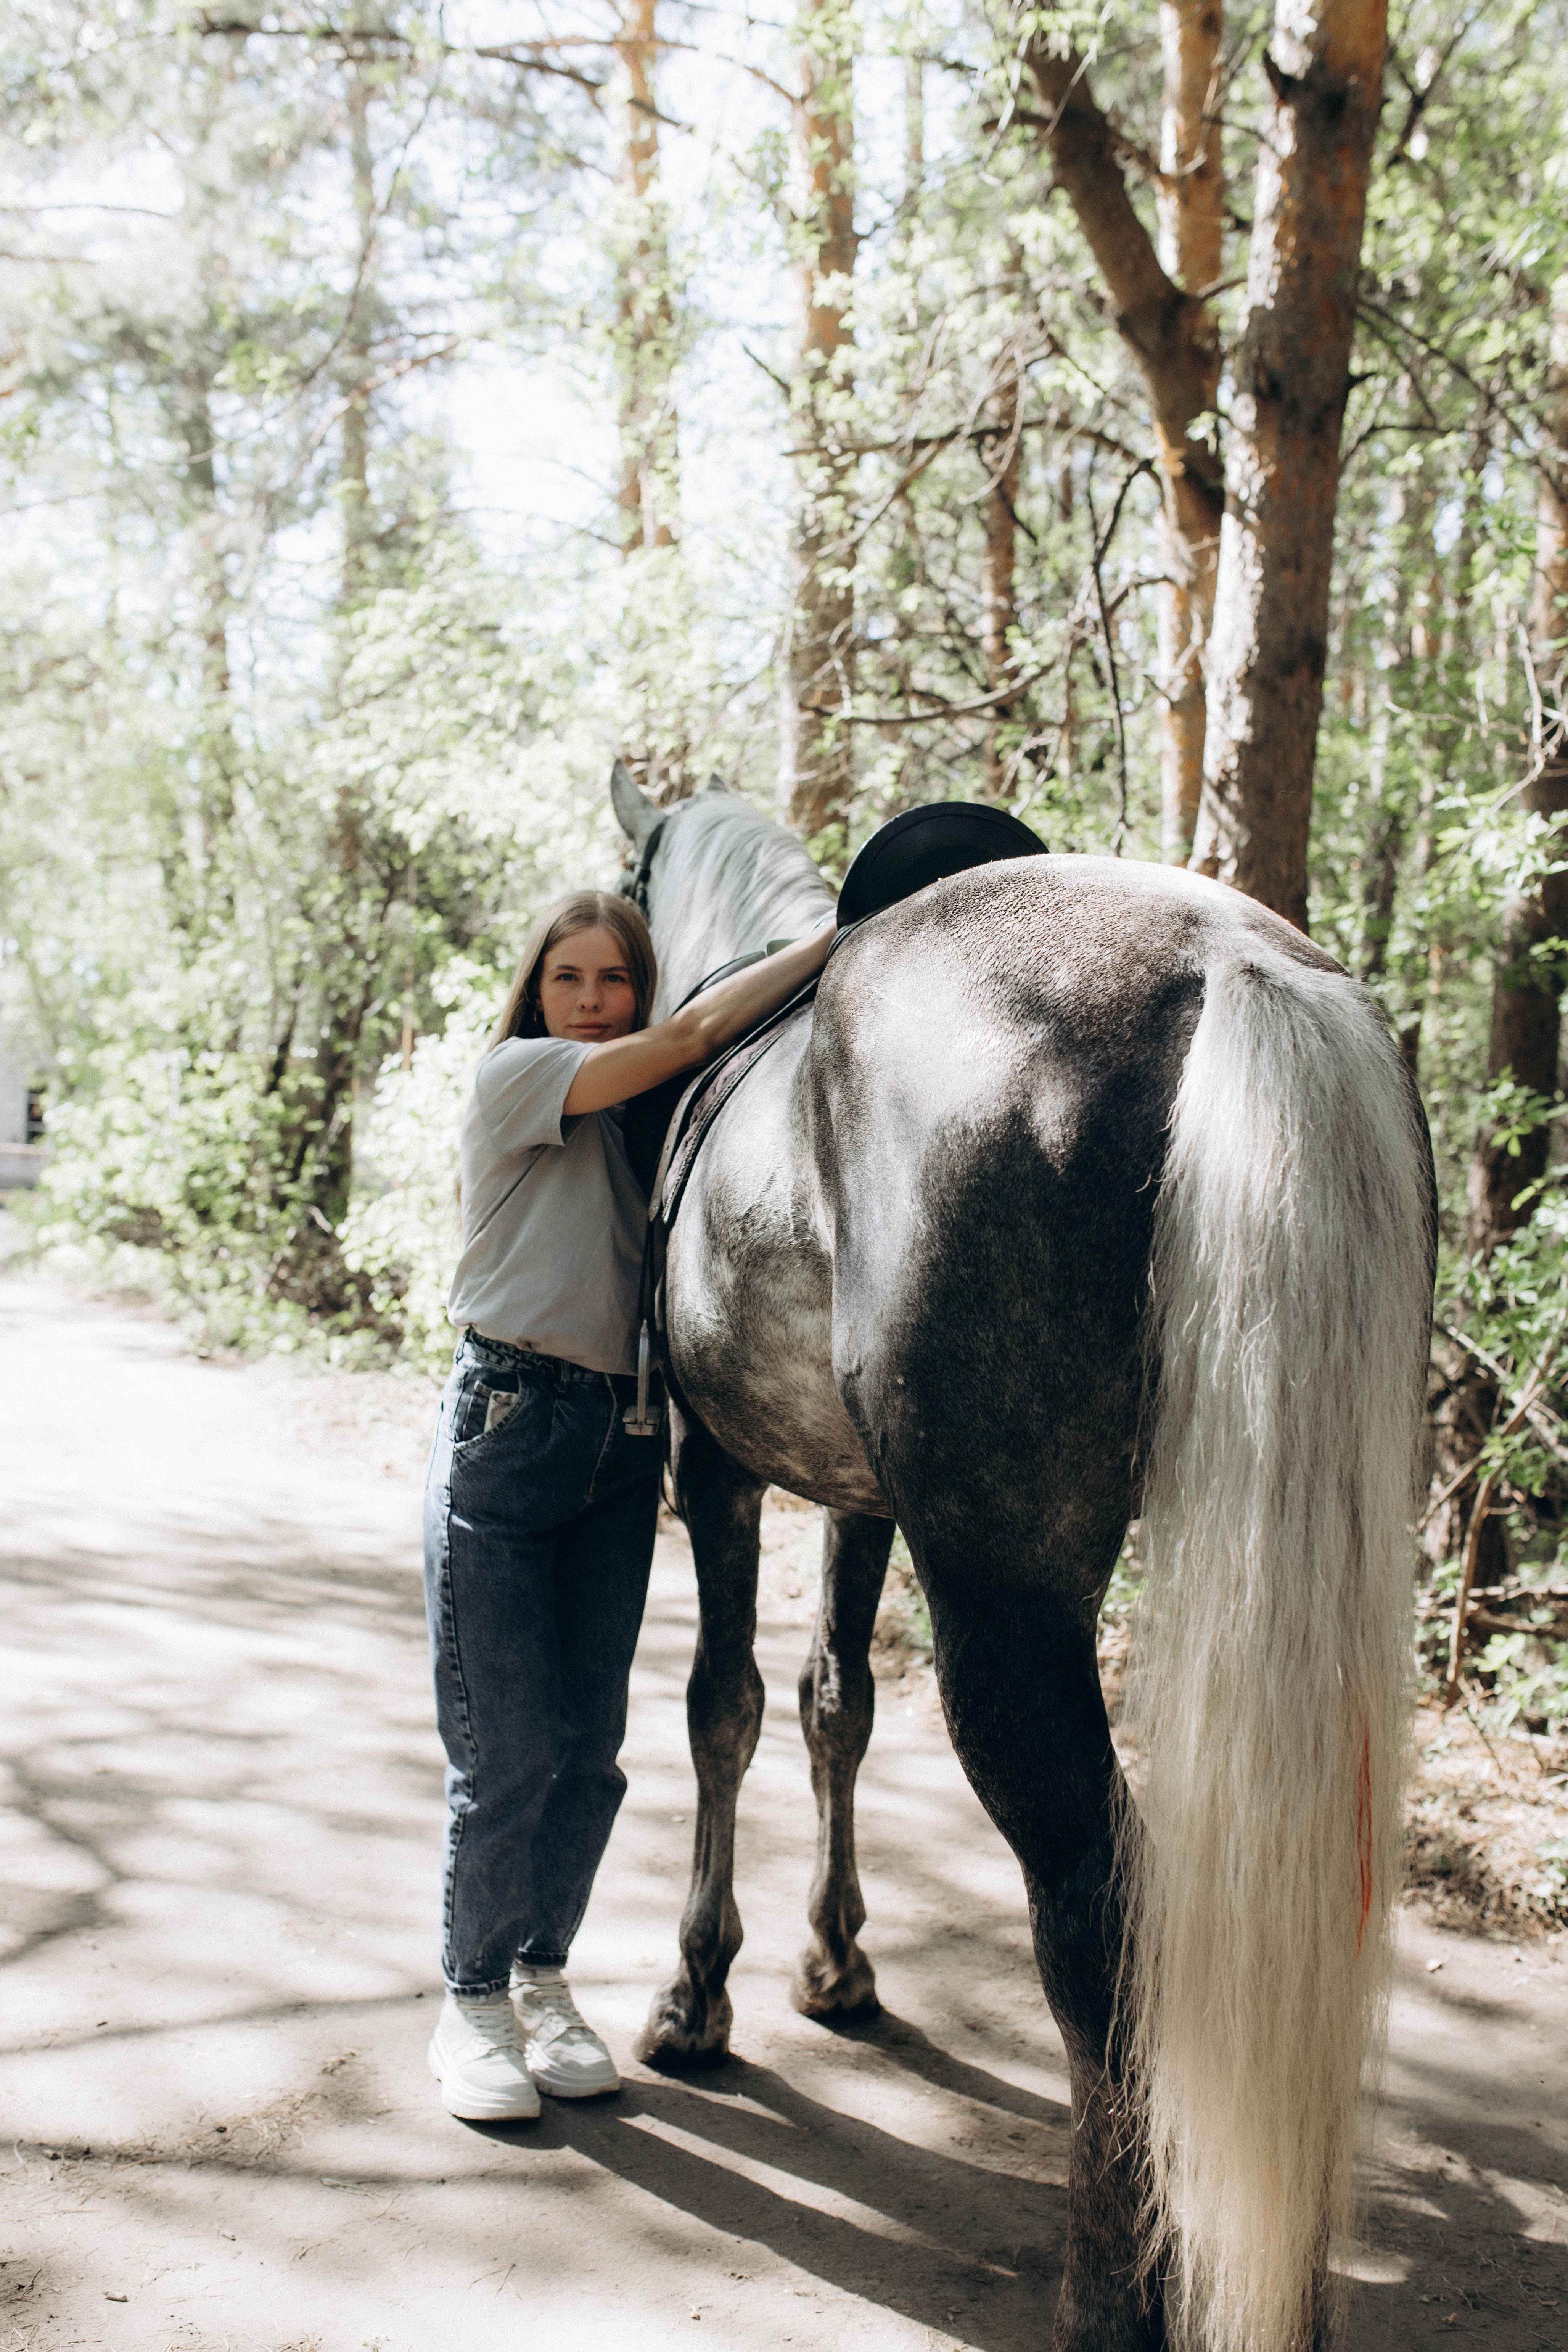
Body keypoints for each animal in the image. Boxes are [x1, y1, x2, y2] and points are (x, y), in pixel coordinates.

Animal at [611, 776, 1439, 2352]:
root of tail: (1238, 963)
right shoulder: (860, 1497)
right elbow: (834, 1704)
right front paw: (836, 1962)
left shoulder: (716, 1467)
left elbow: (719, 1710)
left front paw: (698, 1991)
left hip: (1006, 1606)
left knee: (1097, 1910)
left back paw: (1112, 2292)